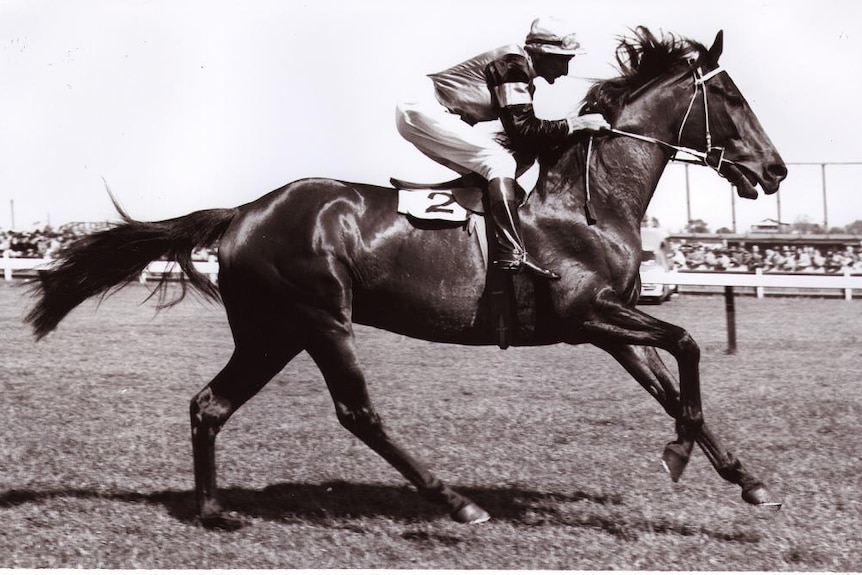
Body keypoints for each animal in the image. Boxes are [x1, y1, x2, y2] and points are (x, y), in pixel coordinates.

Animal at [23, 28, 788, 532]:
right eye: (730, 95)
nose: (777, 169)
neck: (587, 202)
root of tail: (244, 211)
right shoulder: (587, 314)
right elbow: (688, 345)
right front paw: (682, 453)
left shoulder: (610, 326)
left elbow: (672, 385)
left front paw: (745, 479)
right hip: (321, 318)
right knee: (358, 412)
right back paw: (457, 501)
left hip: (273, 330)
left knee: (210, 404)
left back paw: (214, 509)